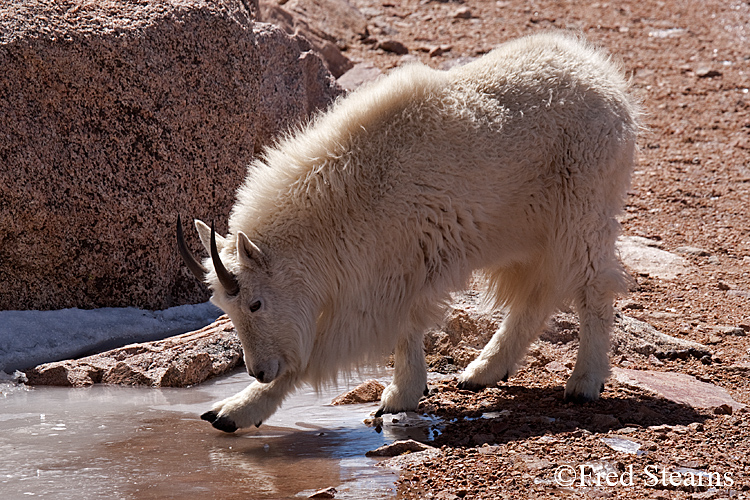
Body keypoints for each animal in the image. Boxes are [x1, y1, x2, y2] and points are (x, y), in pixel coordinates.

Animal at [178, 31, 640, 432]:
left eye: (255, 304)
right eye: (225, 309)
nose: (258, 370)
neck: (343, 197)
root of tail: (609, 82)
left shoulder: (381, 283)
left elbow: (322, 353)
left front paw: (232, 411)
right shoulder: (398, 271)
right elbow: (406, 329)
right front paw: (405, 394)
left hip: (582, 211)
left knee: (593, 287)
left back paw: (584, 382)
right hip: (524, 231)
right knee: (537, 295)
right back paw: (483, 370)